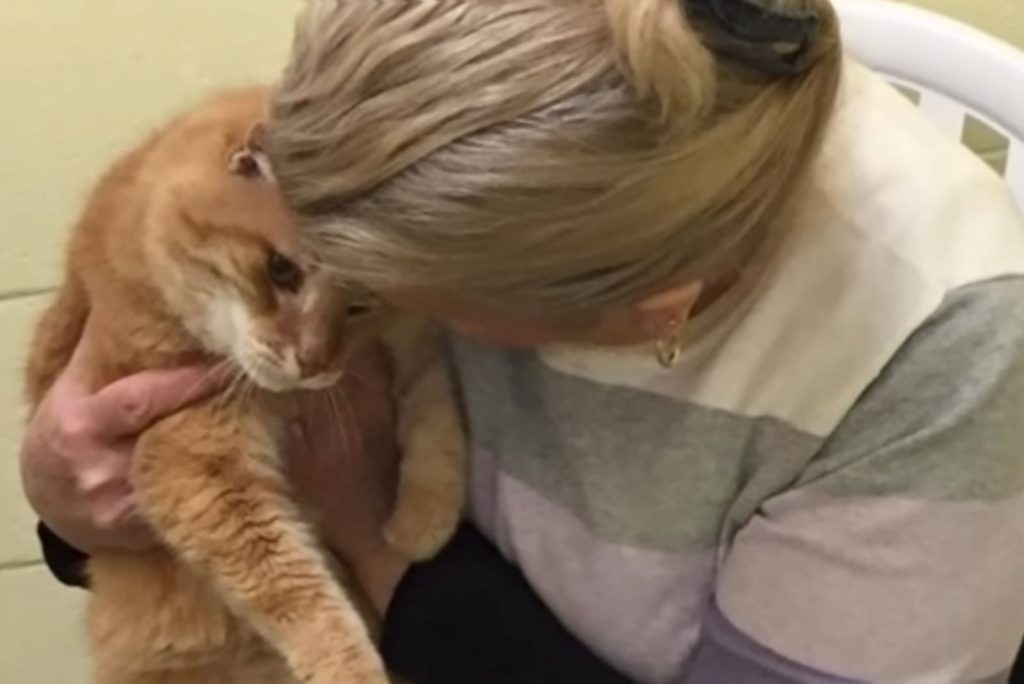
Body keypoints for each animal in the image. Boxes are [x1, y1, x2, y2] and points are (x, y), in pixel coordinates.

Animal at [24, 89, 464, 684]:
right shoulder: (194, 464)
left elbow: (436, 415)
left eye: (359, 304)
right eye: (281, 270)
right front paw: (350, 667)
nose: (312, 362)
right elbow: (298, 596)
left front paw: (421, 523)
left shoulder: (412, 339)